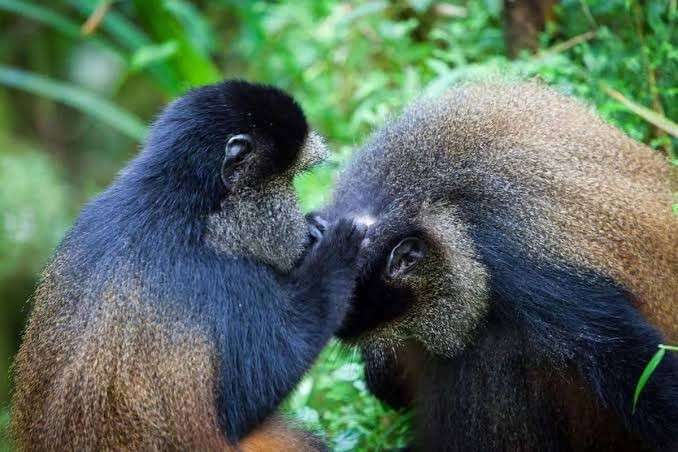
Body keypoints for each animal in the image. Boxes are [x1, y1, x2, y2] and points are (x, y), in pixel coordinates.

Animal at [10, 80, 366, 451]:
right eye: (289, 183)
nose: (303, 224)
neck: (186, 207)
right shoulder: (224, 280)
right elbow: (256, 388)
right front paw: (336, 247)